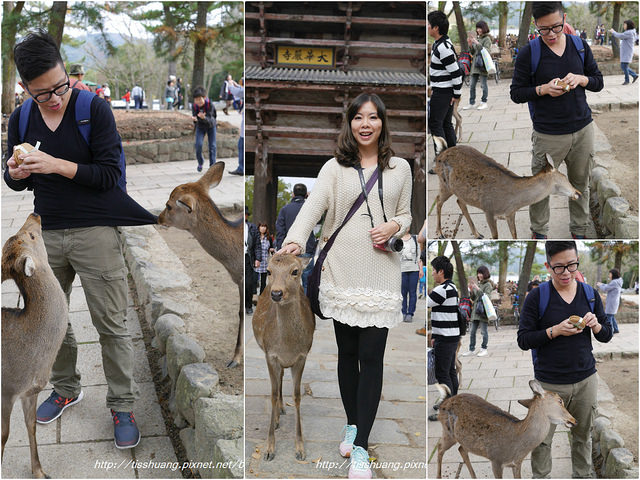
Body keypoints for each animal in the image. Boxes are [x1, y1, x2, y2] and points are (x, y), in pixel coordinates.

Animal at [2, 214, 68, 476]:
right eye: (31, 236)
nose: (35, 215)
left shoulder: (30, 392)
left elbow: (32, 426)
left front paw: (40, 472)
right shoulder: (6, 390)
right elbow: (5, 434)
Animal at [252, 255, 318, 462]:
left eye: (295, 271)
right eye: (269, 271)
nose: (276, 293)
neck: (287, 346)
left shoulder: (302, 356)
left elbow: (297, 396)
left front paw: (300, 449)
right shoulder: (270, 354)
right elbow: (272, 395)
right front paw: (269, 449)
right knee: (278, 381)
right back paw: (277, 416)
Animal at [432, 137, 584, 238]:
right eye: (565, 176)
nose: (578, 193)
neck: (511, 201)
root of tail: (442, 152)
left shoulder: (510, 214)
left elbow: (514, 235)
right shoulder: (488, 210)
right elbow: (496, 237)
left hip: (459, 190)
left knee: (460, 201)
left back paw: (477, 234)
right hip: (444, 184)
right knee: (438, 200)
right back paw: (440, 233)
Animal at [438, 380, 576, 478]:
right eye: (560, 400)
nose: (574, 420)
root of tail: (444, 402)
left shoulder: (517, 463)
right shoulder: (496, 460)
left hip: (465, 440)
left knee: (461, 449)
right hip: (448, 432)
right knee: (440, 448)